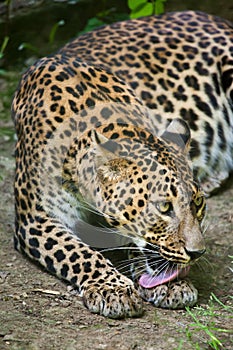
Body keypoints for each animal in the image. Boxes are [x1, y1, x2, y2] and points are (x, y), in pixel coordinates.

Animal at [12, 10, 233, 318]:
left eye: (197, 204)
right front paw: (112, 288)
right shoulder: (36, 218)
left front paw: (171, 285)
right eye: (164, 207)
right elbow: (78, 252)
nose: (197, 253)